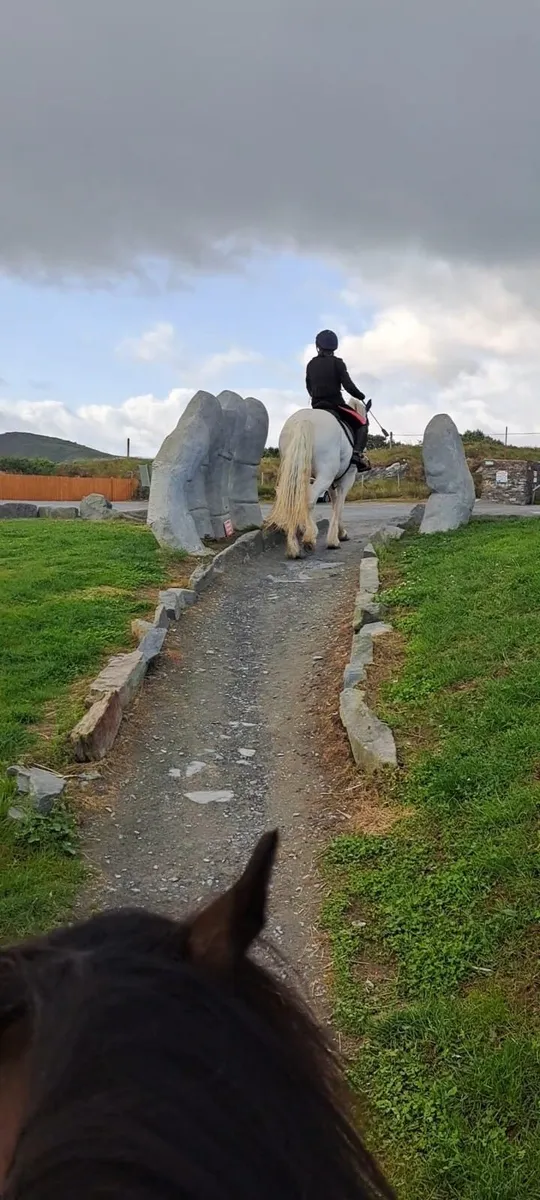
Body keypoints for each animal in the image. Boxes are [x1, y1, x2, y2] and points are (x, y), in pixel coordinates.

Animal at [268, 408, 361, 559]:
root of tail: (305, 419)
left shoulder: (332, 484)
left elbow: (335, 502)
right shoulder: (347, 479)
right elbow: (339, 505)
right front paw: (336, 538)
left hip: (297, 472)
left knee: (294, 501)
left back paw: (294, 547)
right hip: (325, 475)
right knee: (310, 499)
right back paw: (309, 537)